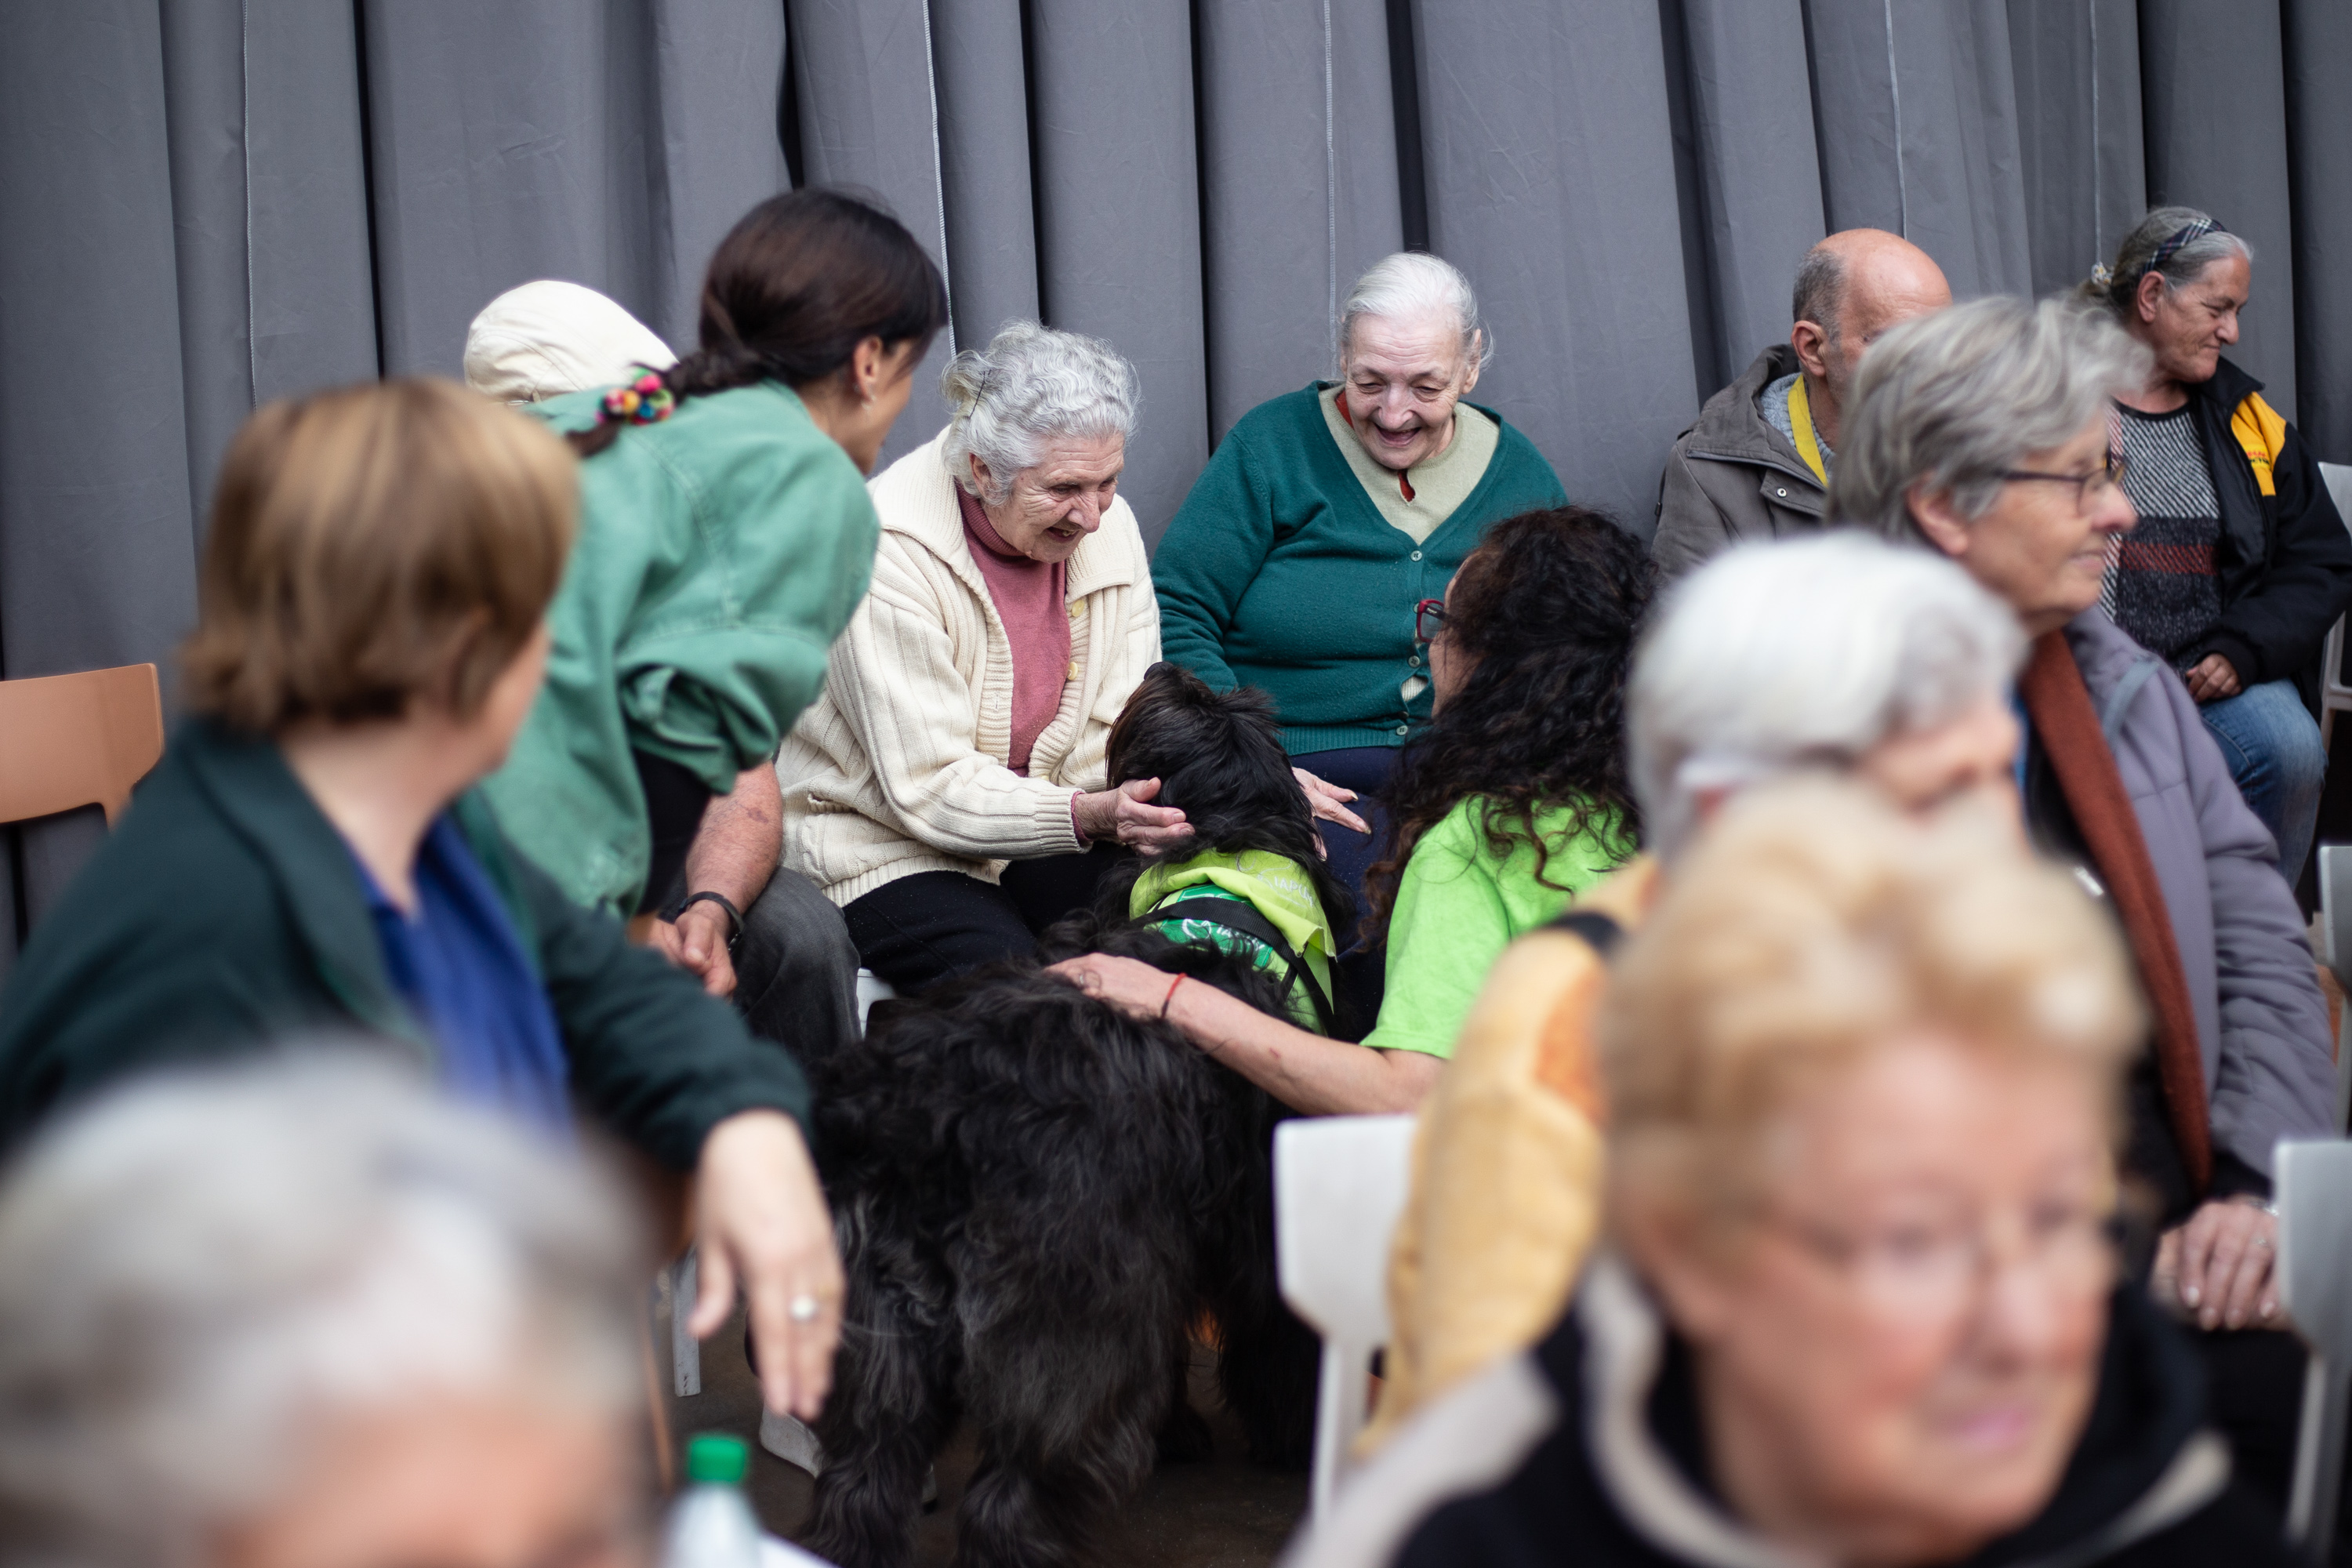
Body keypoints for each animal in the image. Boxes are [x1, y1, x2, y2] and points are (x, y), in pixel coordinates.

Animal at [804, 667, 1336, 1568]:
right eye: (1201, 705)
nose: (1163, 668)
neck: (1221, 874)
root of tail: (927, 1110)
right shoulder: (1252, 1215)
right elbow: (1277, 1338)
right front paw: (1287, 1437)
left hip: (883, 1332)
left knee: (863, 1481)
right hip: (1067, 1330)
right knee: (1013, 1496)